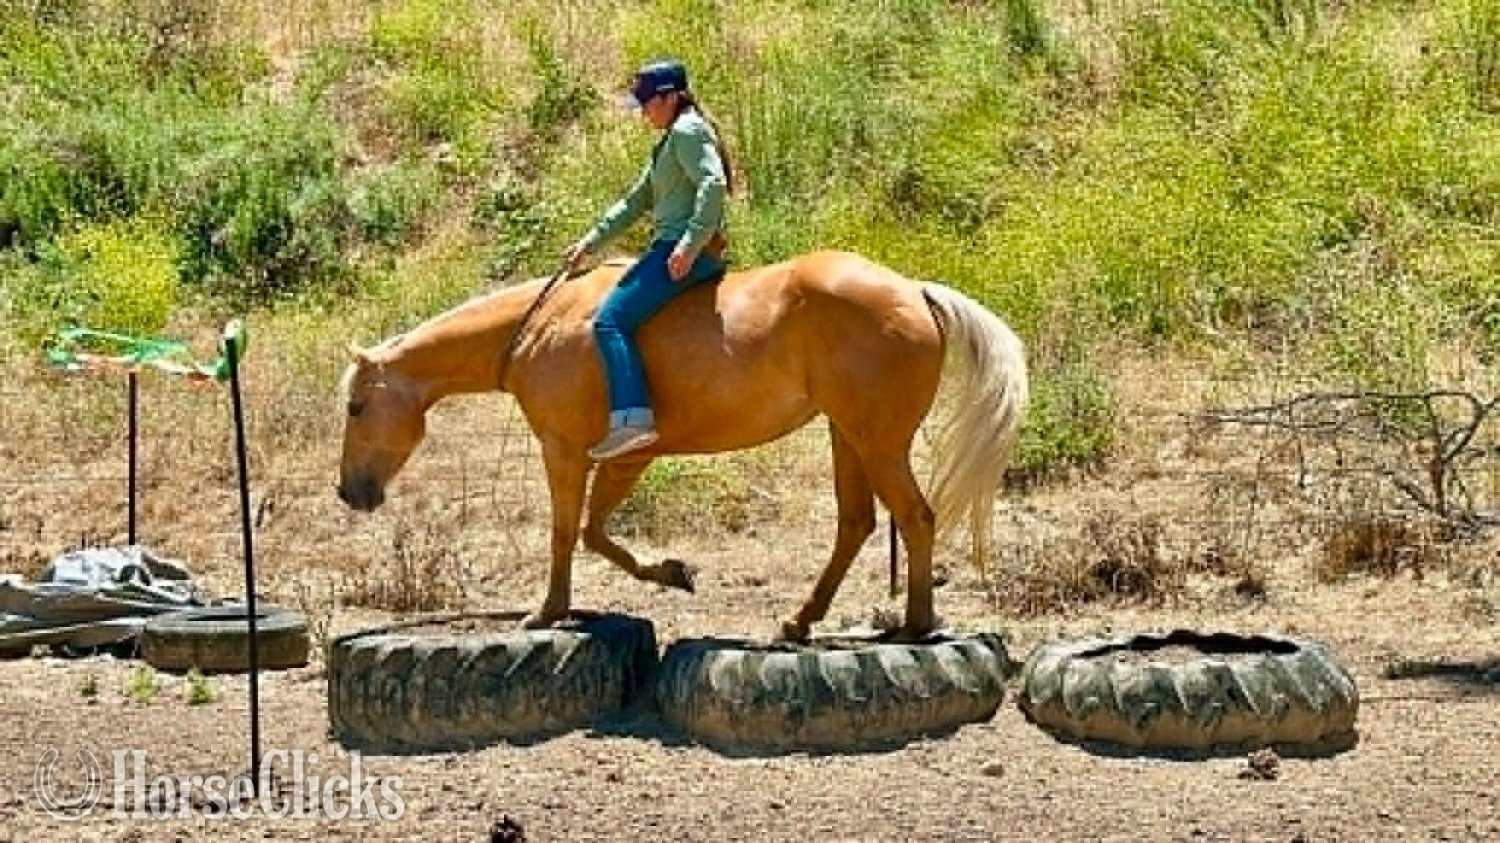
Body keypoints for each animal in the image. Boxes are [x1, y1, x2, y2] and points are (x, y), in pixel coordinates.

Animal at [337, 250, 1027, 642]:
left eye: (356, 405)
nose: (349, 491)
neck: (544, 326)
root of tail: (914, 291)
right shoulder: (628, 457)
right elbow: (594, 532)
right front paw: (672, 573)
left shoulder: (564, 449)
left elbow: (565, 531)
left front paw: (549, 611)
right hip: (848, 436)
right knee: (856, 523)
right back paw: (801, 620)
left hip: (877, 442)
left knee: (915, 517)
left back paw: (914, 624)